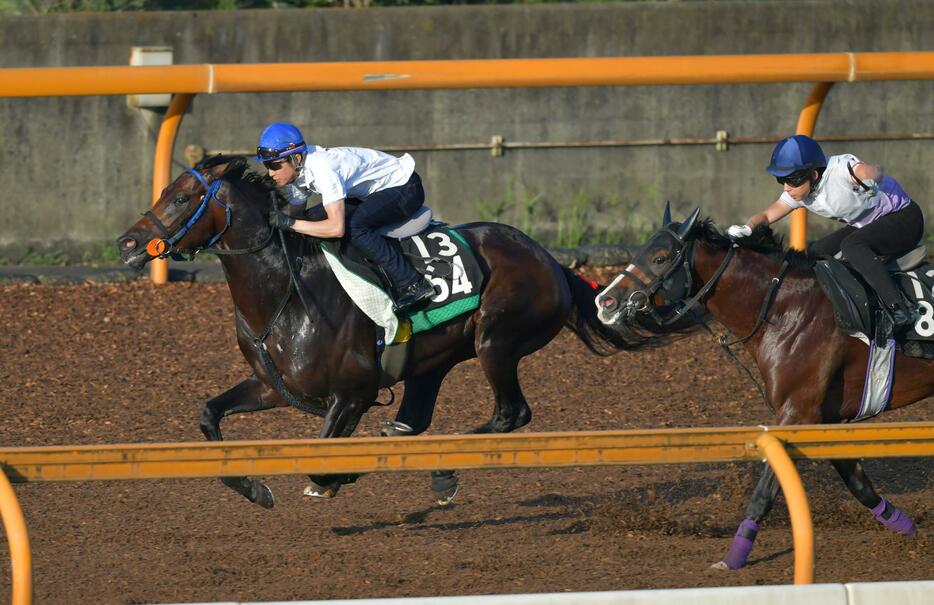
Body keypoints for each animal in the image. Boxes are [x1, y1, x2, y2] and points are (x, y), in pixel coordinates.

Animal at [115, 156, 628, 504]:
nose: (128, 243)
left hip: (495, 342)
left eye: (182, 198)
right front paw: (256, 489)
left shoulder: (352, 393)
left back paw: (443, 473)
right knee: (416, 420)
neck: (289, 293)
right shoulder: (274, 386)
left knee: (511, 414)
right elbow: (209, 415)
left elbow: (323, 460)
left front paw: (336, 479)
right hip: (436, 360)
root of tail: (550, 261)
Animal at [596, 205, 932, 568]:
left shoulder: (797, 413)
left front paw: (734, 556)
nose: (605, 302)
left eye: (660, 257)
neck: (783, 308)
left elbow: (766, 488)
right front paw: (907, 528)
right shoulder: (823, 417)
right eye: (639, 252)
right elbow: (858, 484)